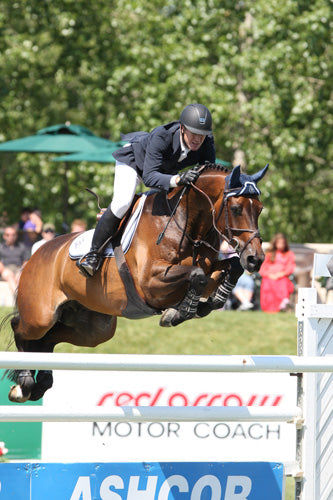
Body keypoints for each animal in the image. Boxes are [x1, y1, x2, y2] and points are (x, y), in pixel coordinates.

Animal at [3, 162, 268, 404]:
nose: (255, 259)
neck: (186, 224)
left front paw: (209, 302)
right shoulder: (150, 283)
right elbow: (197, 275)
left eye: (260, 209)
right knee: (20, 327)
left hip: (93, 328)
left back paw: (38, 384)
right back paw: (24, 382)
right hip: (41, 316)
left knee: (48, 339)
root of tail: (35, 255)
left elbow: (227, 269)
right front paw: (177, 313)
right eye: (236, 208)